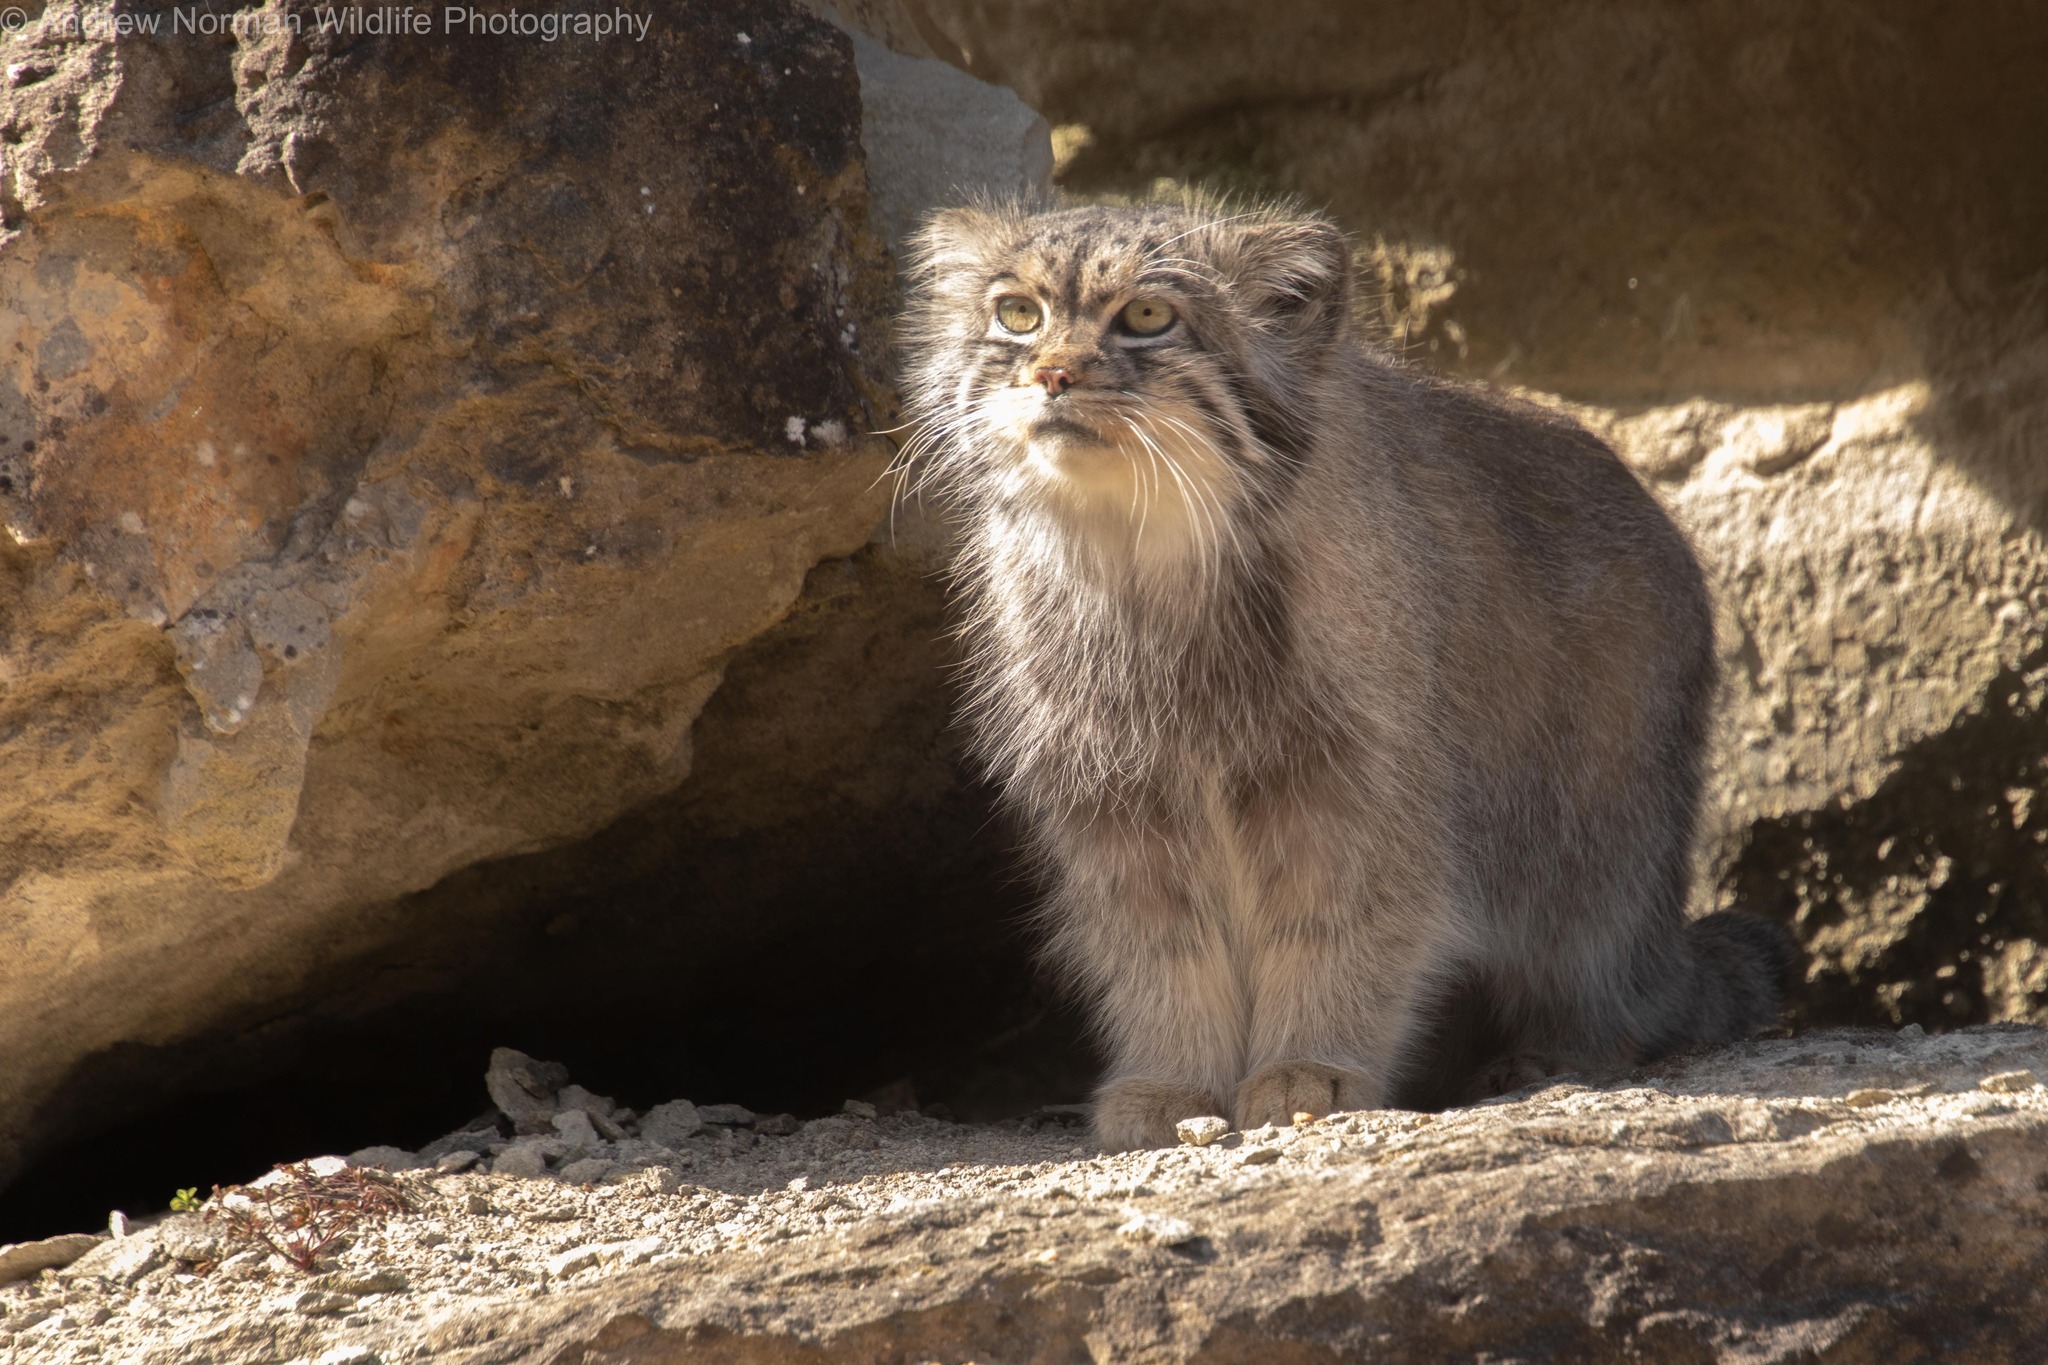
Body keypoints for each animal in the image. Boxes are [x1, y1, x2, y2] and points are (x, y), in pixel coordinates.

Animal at [897, 197, 1794, 1146]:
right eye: (1017, 313)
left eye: (1146, 315)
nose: (1053, 374)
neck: (1143, 565)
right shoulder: (1119, 803)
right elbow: (1164, 953)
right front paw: (1173, 1081)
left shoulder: (1359, 789)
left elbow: (1340, 932)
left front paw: (1310, 1065)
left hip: (1591, 844)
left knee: (1607, 978)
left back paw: (1551, 1054)